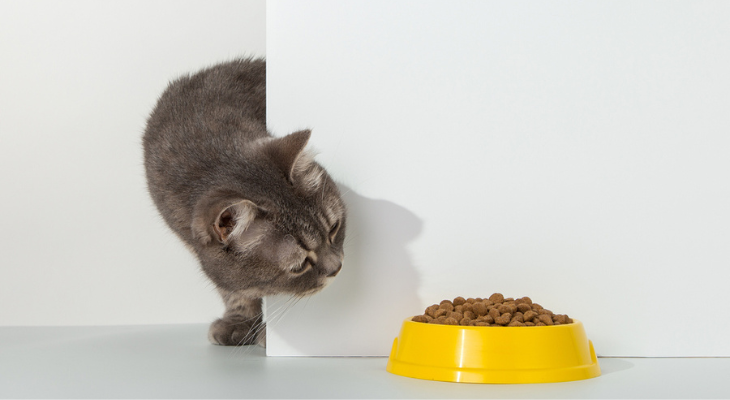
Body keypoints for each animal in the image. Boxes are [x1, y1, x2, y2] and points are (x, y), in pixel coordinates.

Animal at [144, 58, 346, 346]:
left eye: (334, 229)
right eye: (299, 266)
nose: (337, 268)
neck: (210, 155)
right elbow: (232, 288)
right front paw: (239, 322)